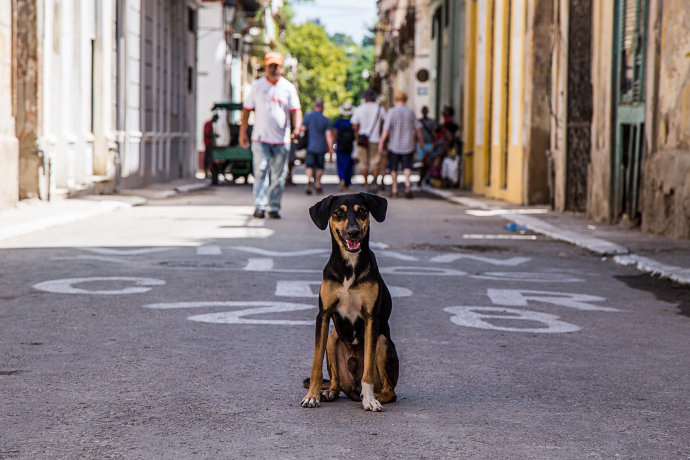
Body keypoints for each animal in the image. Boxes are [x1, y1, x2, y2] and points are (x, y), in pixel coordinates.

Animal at [300, 192, 398, 412]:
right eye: (338, 212)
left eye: (361, 211)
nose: (354, 232)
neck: (350, 265)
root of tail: (350, 385)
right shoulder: (323, 314)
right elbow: (316, 364)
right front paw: (312, 396)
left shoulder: (371, 317)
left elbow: (368, 370)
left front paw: (369, 400)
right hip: (332, 337)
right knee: (336, 383)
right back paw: (328, 392)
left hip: (382, 342)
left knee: (390, 391)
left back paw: (372, 395)